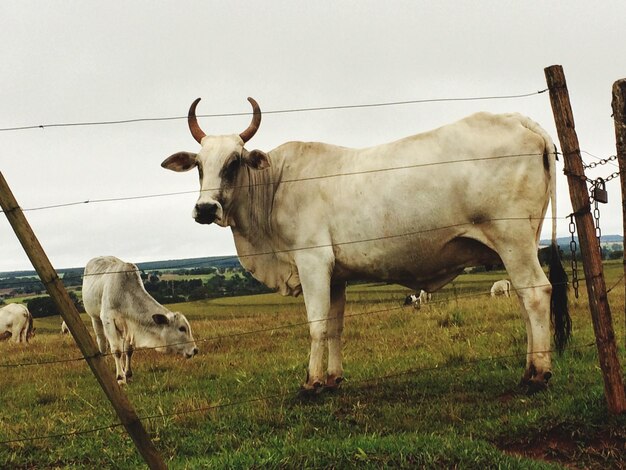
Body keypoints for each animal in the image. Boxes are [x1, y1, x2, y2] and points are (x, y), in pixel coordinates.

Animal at [81, 258, 196, 386]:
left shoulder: (129, 326)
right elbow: (117, 351)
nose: (195, 350)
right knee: (102, 344)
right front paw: (120, 378)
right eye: (182, 328)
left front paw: (128, 374)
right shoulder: (108, 320)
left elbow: (128, 351)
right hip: (95, 318)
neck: (125, 294)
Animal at [162, 97, 572, 394]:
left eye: (233, 162)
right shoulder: (336, 276)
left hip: (512, 240)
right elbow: (334, 327)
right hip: (519, 245)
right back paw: (531, 367)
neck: (275, 186)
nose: (205, 208)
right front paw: (332, 379)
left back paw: (538, 374)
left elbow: (316, 325)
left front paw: (311, 384)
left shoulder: (312, 263)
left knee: (536, 293)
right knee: (524, 301)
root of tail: (520, 120)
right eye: (199, 165)